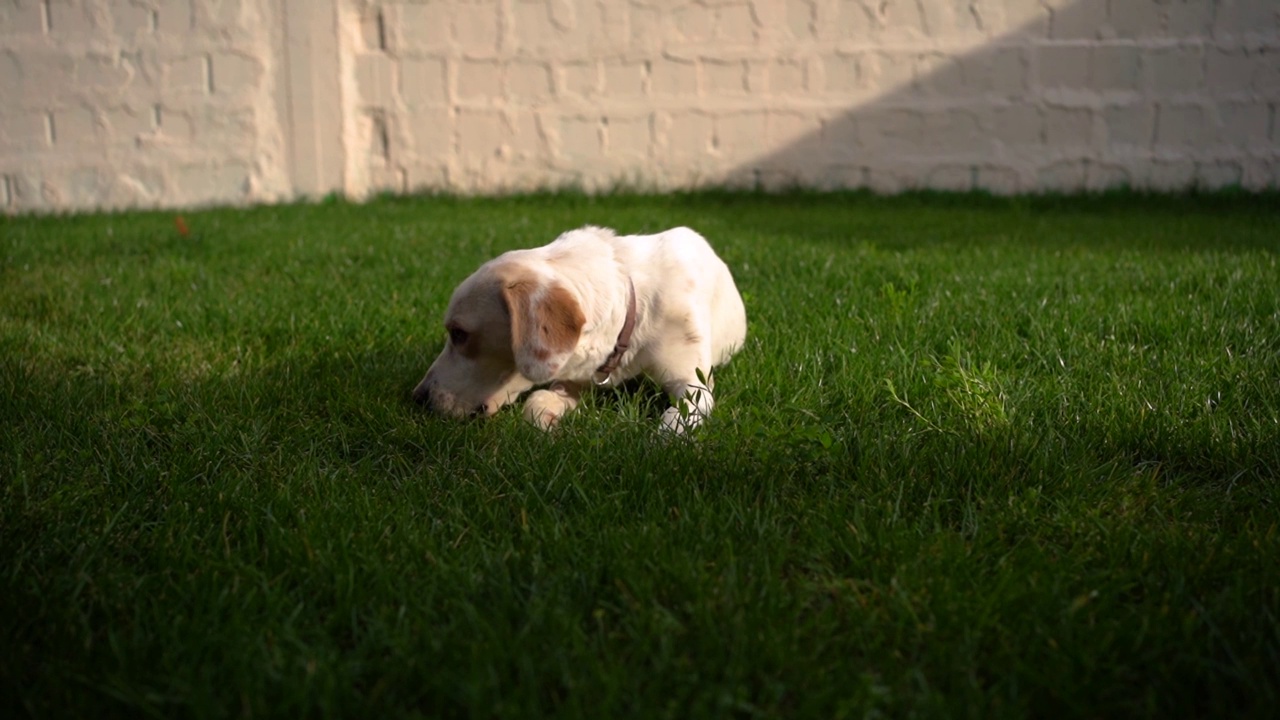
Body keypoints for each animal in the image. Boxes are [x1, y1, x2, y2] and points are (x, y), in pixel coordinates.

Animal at [414, 224, 747, 427]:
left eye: (459, 334)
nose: (417, 397)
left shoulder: (693, 383)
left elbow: (674, 421)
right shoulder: (576, 374)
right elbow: (536, 403)